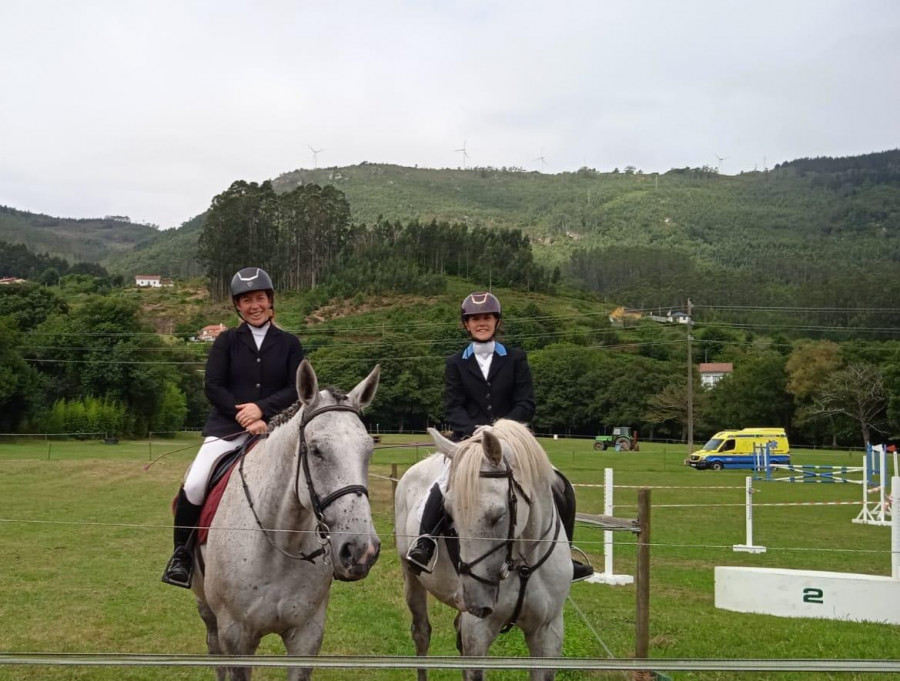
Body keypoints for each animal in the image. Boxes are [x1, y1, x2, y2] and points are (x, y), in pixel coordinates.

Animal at [193, 358, 380, 676]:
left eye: (369, 449)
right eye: (316, 450)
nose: (361, 551)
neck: (280, 542)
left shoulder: (306, 637)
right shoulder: (236, 637)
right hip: (207, 609)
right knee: (213, 648)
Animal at [398, 420, 572, 680]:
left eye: (498, 515)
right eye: (448, 512)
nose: (474, 603)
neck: (524, 564)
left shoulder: (548, 633)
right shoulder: (478, 632)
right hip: (413, 578)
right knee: (421, 633)